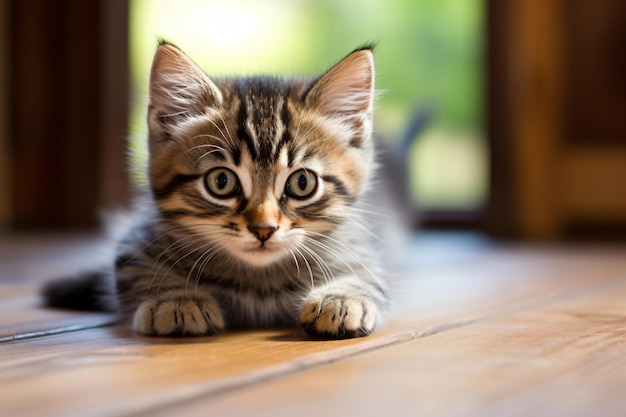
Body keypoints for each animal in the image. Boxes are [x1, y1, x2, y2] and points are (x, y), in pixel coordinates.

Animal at [44, 41, 388, 338]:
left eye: (302, 183)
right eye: (221, 182)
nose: (263, 230)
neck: (258, 281)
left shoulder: (362, 247)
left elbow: (370, 274)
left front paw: (342, 297)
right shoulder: (134, 244)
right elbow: (136, 272)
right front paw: (176, 299)